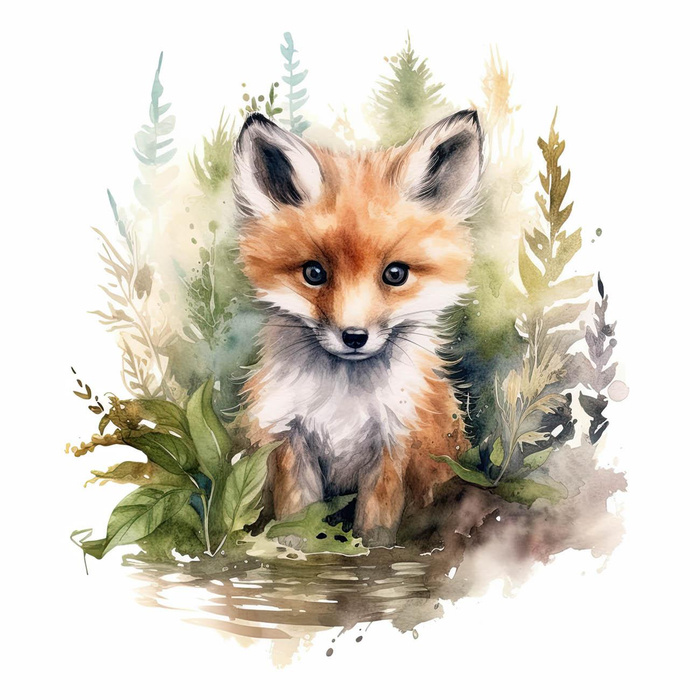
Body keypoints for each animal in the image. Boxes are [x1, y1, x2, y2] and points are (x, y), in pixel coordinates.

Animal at [233, 109, 484, 547]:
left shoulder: (394, 445)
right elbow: (295, 524)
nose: (354, 337)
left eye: (395, 274)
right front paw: (292, 556)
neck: (343, 403)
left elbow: (375, 533)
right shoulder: (291, 443)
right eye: (314, 273)